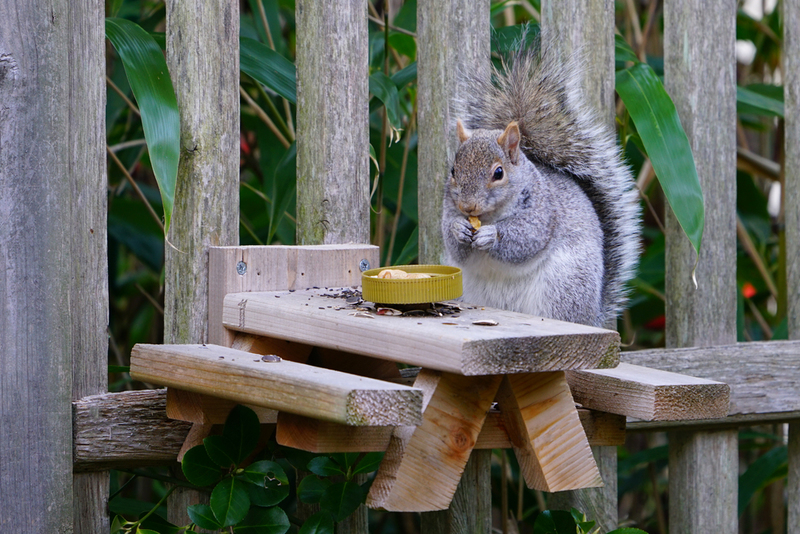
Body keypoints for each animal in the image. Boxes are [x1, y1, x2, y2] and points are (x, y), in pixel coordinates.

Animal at [440, 35, 640, 328]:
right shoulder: (448, 209)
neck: (489, 216)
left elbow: (526, 238)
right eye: (454, 170)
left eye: (498, 173)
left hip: (564, 286)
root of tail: (592, 317)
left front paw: (492, 235)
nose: (468, 207)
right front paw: (458, 229)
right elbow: (453, 242)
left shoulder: (543, 211)